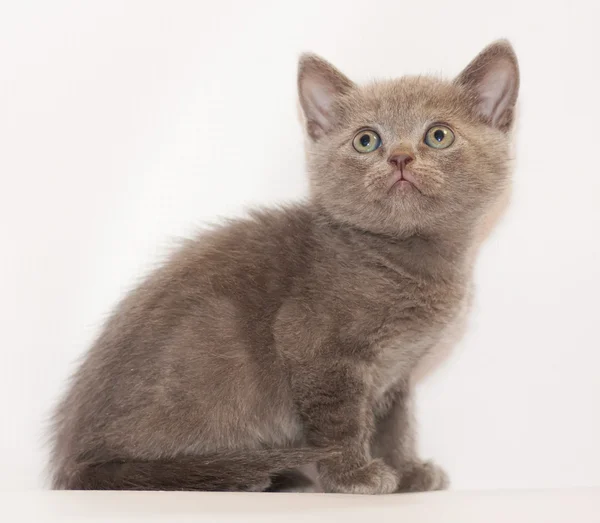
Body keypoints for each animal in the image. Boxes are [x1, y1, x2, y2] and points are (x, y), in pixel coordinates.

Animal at [50, 42, 520, 496]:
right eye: (366, 140)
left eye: (438, 135)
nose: (400, 158)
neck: (405, 259)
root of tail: (72, 463)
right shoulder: (315, 347)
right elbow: (340, 422)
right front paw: (354, 476)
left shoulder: (396, 373)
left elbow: (395, 424)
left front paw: (405, 472)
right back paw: (245, 477)